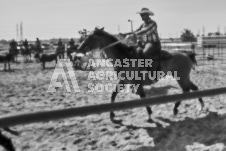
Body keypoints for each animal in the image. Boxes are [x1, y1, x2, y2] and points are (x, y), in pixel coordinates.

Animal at [77, 27, 205, 122]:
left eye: (90, 37)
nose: (79, 47)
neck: (125, 57)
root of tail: (186, 54)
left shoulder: (137, 83)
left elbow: (142, 97)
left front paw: (149, 115)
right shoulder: (123, 81)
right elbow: (113, 95)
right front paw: (112, 115)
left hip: (181, 77)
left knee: (186, 90)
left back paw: (175, 109)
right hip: (184, 77)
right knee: (194, 88)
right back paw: (201, 106)